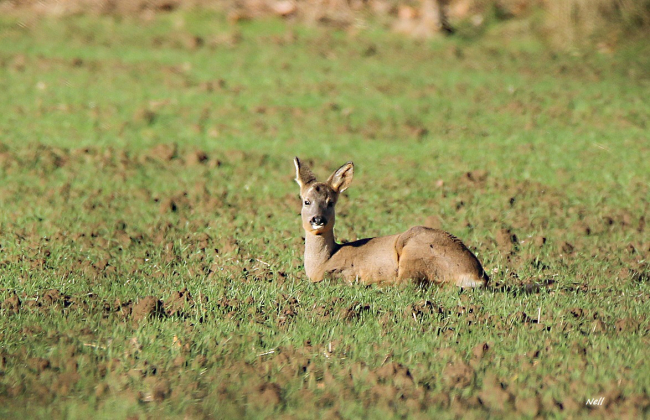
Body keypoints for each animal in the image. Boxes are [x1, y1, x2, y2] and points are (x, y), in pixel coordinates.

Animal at [294, 158, 486, 288]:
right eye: (307, 201)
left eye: (331, 202)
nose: (318, 219)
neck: (323, 262)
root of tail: (478, 275)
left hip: (414, 252)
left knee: (407, 283)